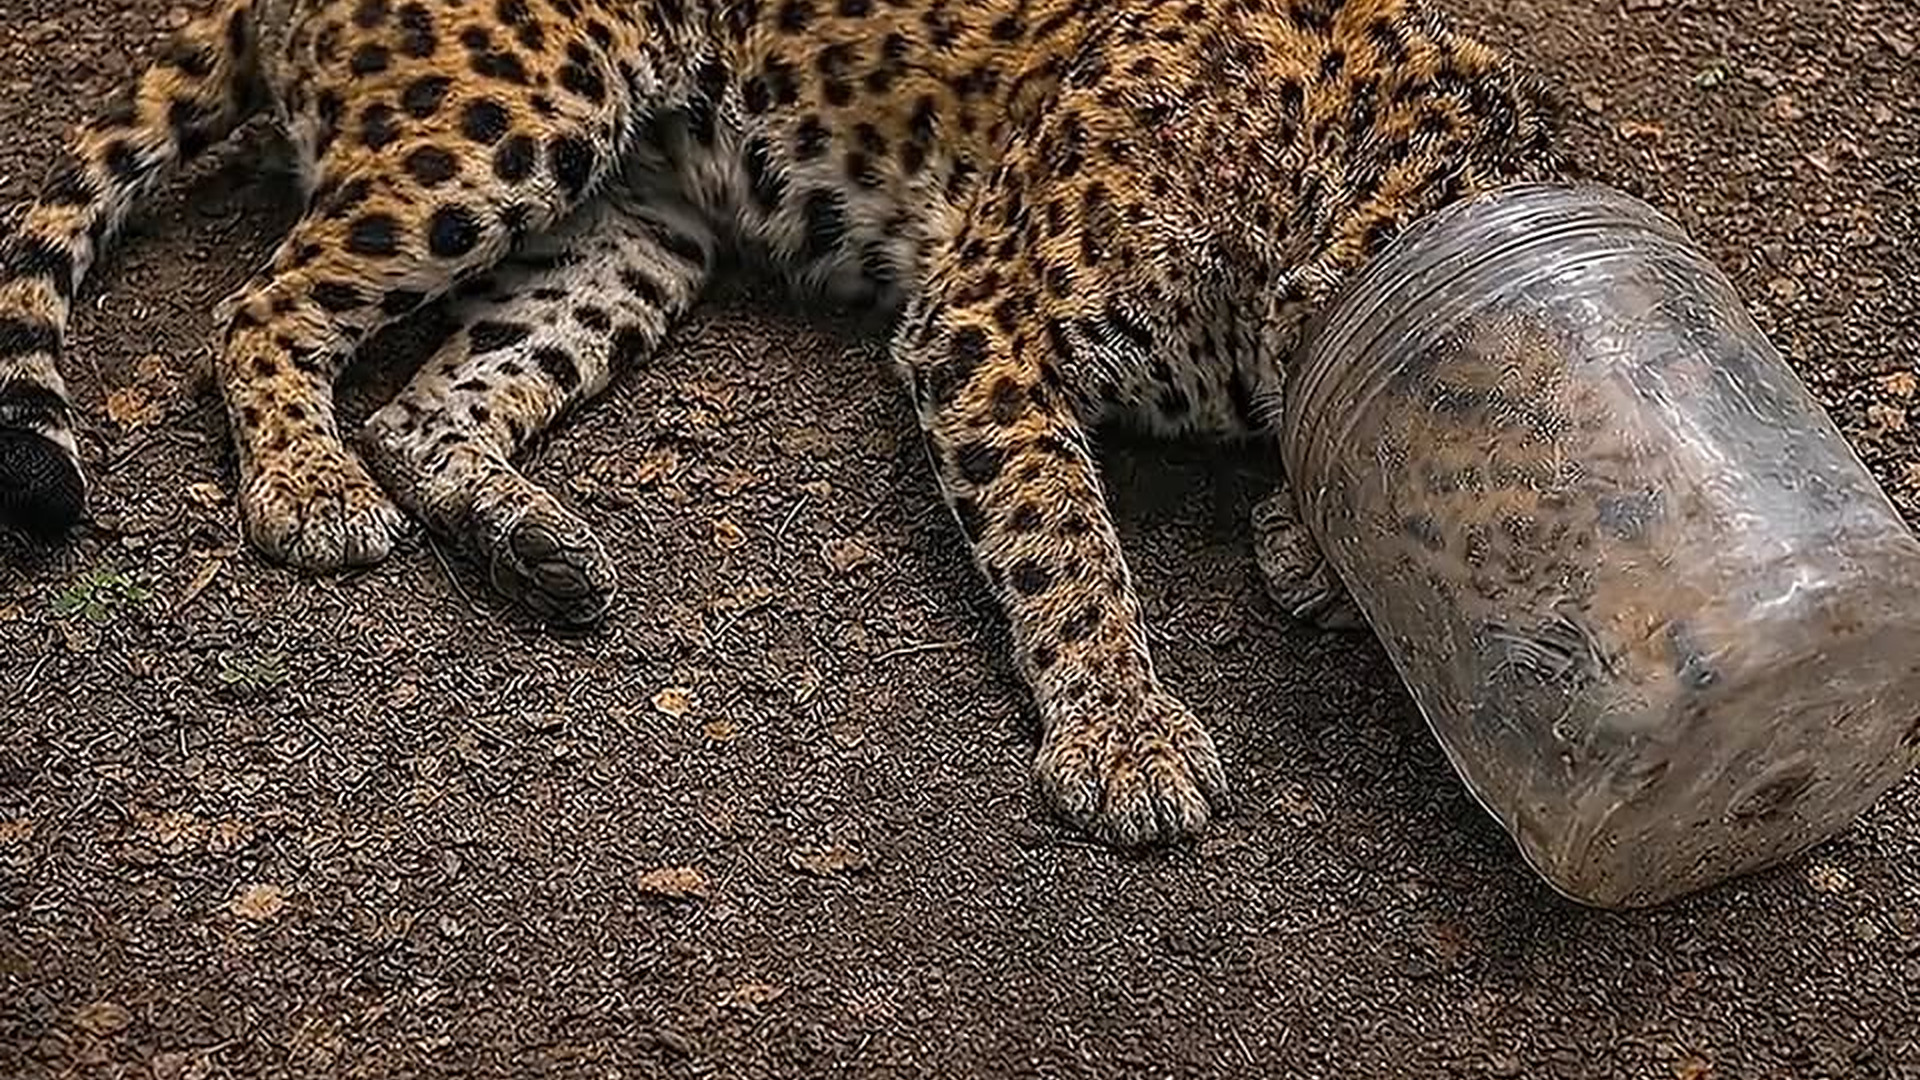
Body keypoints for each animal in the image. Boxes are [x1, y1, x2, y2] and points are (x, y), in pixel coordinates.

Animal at [0, 0, 1561, 849]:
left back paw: (535, 547)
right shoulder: (983, 315)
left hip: (635, 231)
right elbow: (1064, 536)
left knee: (429, 402)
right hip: (518, 109)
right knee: (257, 308)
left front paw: (1304, 546)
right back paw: (308, 488)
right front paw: (1126, 737)